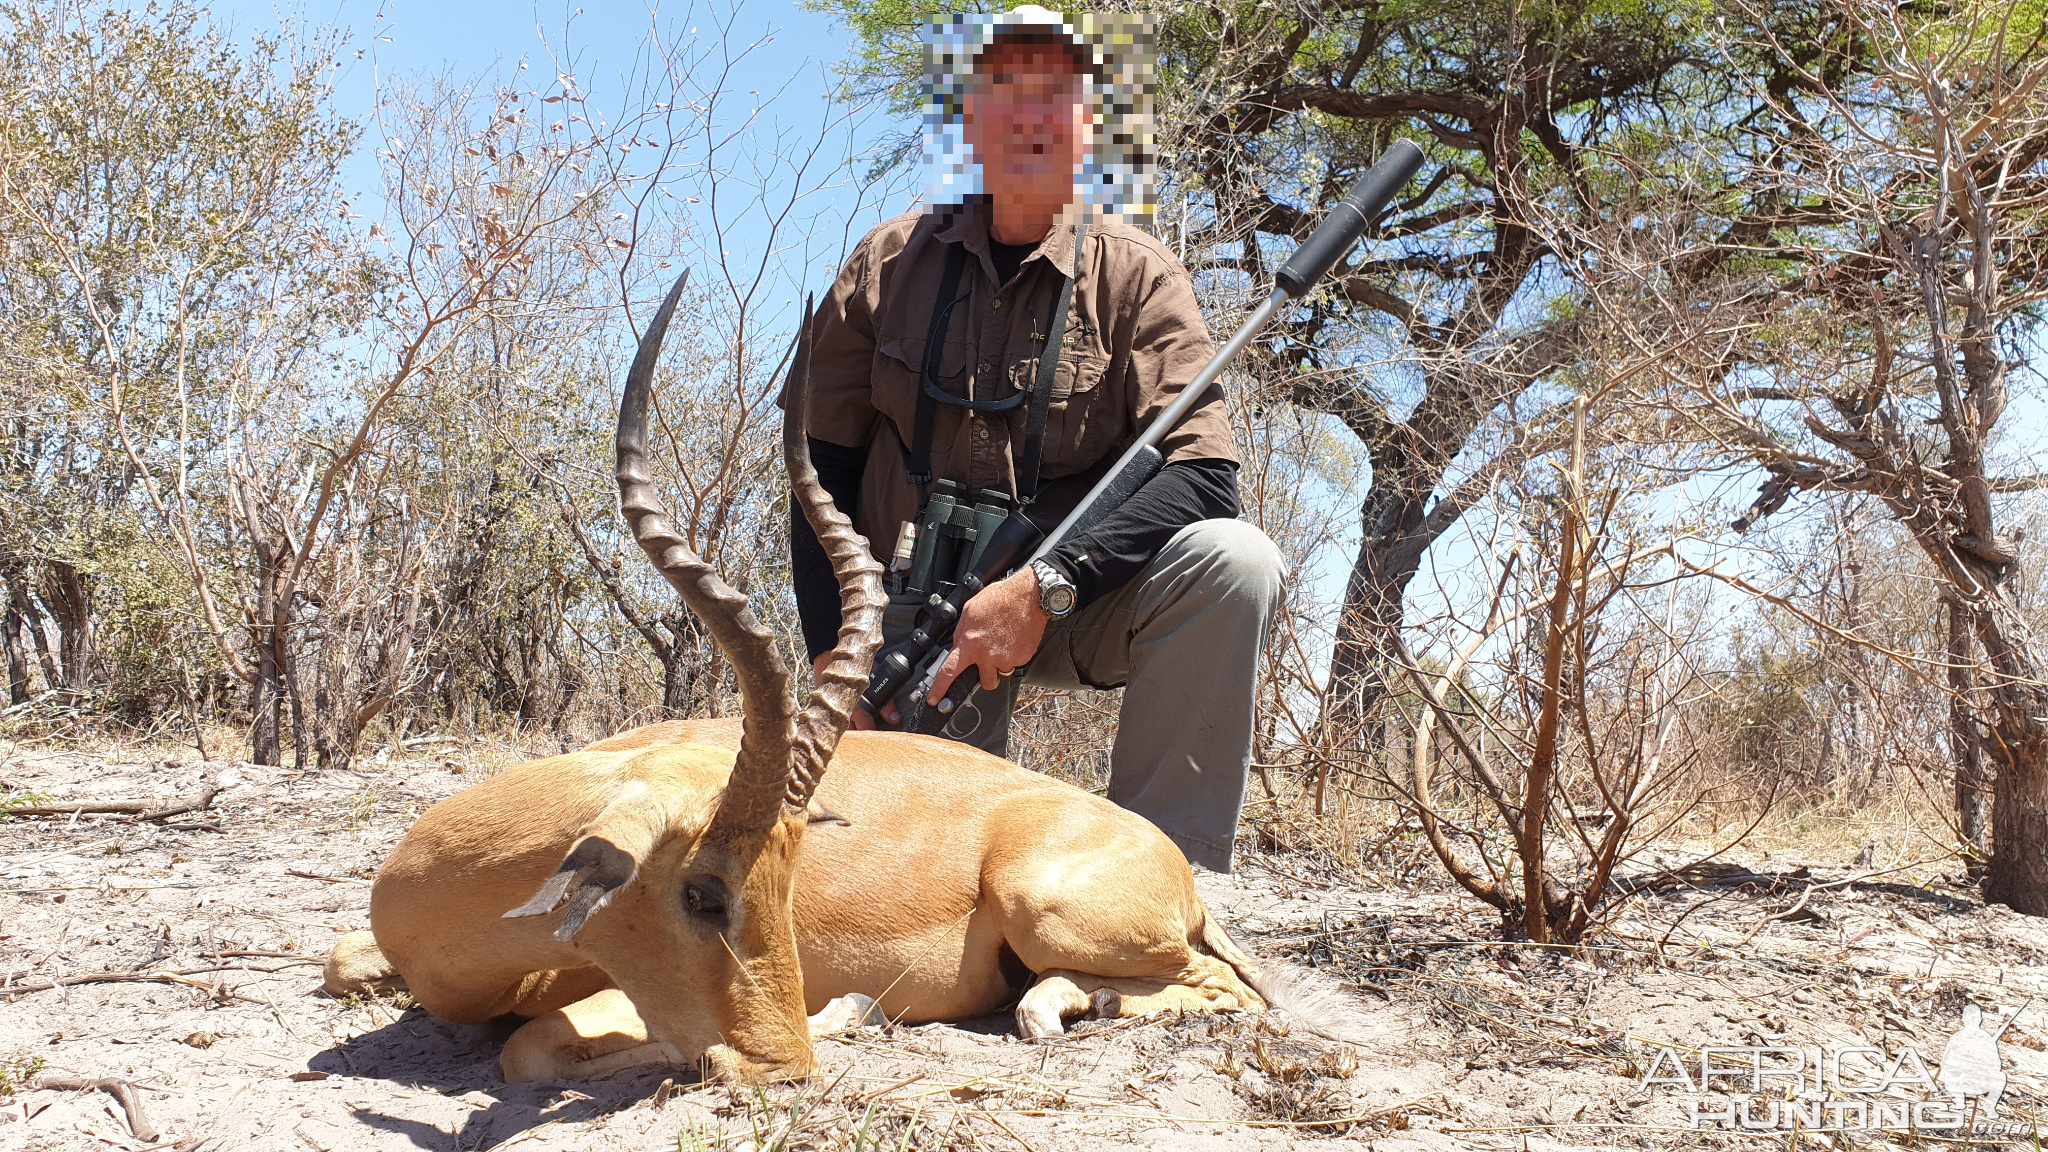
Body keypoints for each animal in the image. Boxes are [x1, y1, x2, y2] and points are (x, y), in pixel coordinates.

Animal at [323, 272, 1359, 1082]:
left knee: (1212, 988)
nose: (786, 1065)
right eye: (704, 893)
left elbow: (539, 1048)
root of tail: (1175, 867)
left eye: (784, 888)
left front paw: (842, 1015)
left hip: (1052, 910)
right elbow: (342, 960)